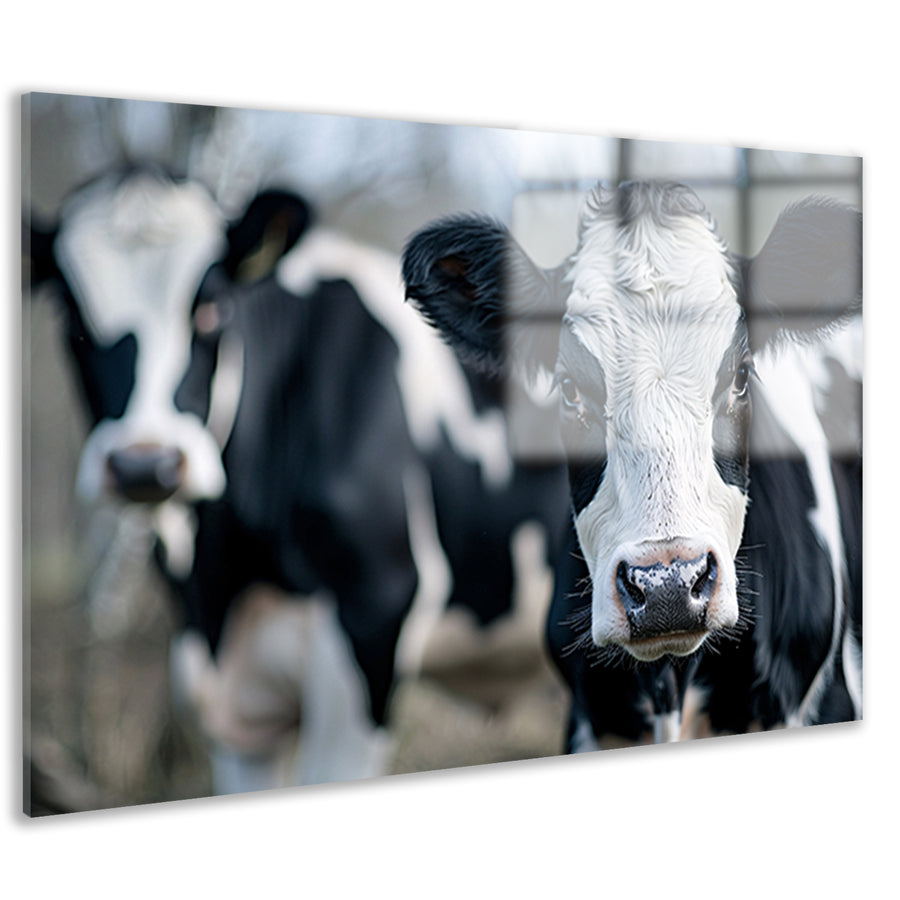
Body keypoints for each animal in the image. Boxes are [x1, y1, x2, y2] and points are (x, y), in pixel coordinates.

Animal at [26, 166, 570, 797]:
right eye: (68, 316)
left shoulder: (372, 621)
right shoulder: (234, 698)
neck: (228, 577)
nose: (144, 464)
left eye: (211, 306)